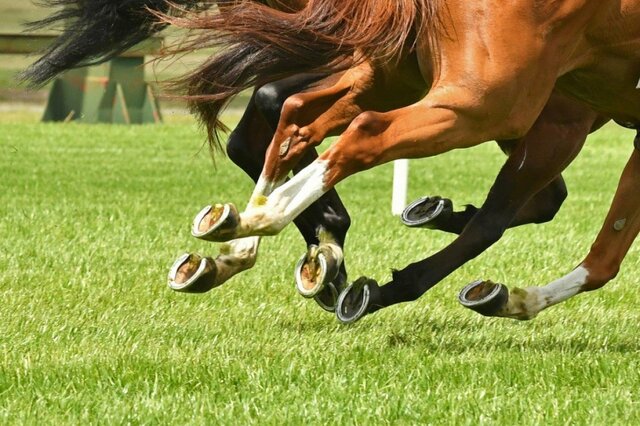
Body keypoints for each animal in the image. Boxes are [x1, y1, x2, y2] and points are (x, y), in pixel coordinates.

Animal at [170, 0, 640, 324]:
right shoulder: (559, 121)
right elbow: (505, 220)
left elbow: (606, 253)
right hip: (486, 103)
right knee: (363, 133)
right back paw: (263, 224)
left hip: (391, 76)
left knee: (295, 117)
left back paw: (244, 236)